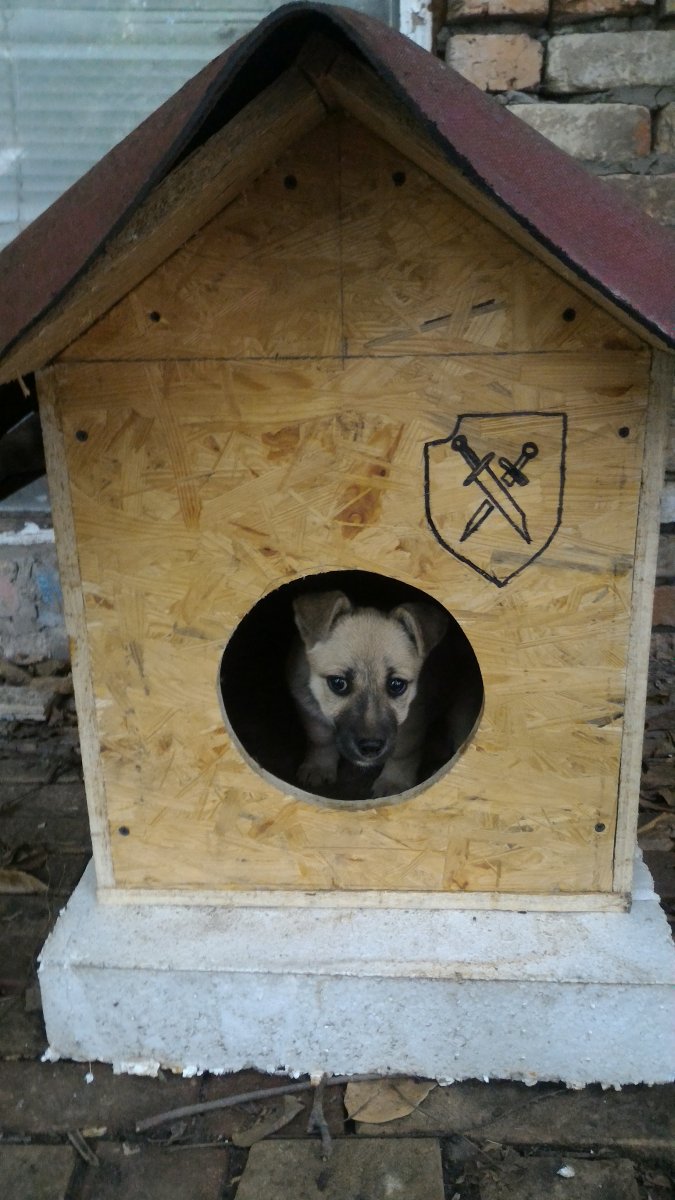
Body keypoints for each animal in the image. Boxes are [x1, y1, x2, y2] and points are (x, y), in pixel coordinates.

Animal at [287, 590, 448, 798]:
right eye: (338, 683)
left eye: (397, 685)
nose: (370, 748)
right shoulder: (308, 707)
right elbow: (320, 739)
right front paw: (318, 767)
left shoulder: (414, 719)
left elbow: (402, 752)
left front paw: (393, 782)